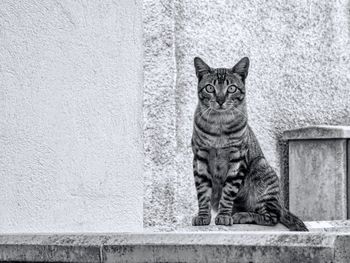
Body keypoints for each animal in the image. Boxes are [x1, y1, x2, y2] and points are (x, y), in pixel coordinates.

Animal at [190, 56, 308, 232]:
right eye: (210, 88)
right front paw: (203, 216)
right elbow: (203, 191)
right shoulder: (200, 157)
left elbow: (228, 191)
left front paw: (224, 216)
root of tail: (281, 204)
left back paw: (241, 215)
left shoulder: (237, 157)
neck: (219, 125)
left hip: (261, 169)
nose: (220, 100)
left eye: (231, 88)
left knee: (271, 217)